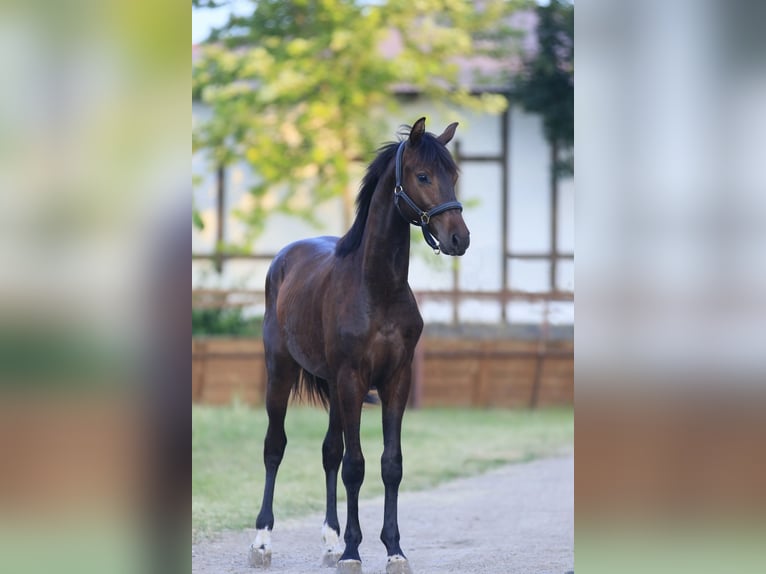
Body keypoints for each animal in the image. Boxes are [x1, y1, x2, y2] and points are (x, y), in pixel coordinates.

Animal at [249, 118, 472, 574]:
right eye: (423, 175)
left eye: (454, 175)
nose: (459, 238)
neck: (377, 289)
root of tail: (284, 258)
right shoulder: (353, 380)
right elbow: (356, 466)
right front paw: (354, 551)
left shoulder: (395, 381)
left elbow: (390, 464)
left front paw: (393, 550)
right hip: (282, 373)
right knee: (274, 447)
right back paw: (262, 541)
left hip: (334, 388)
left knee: (329, 451)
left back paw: (330, 541)